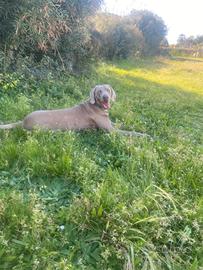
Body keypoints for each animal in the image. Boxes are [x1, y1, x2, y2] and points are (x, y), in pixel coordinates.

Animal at [0, 85, 149, 137]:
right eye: (99, 91)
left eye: (107, 89)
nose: (106, 97)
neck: (97, 107)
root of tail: (23, 121)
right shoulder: (111, 130)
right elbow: (131, 133)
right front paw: (147, 136)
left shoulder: (111, 124)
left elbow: (121, 124)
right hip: (43, 128)